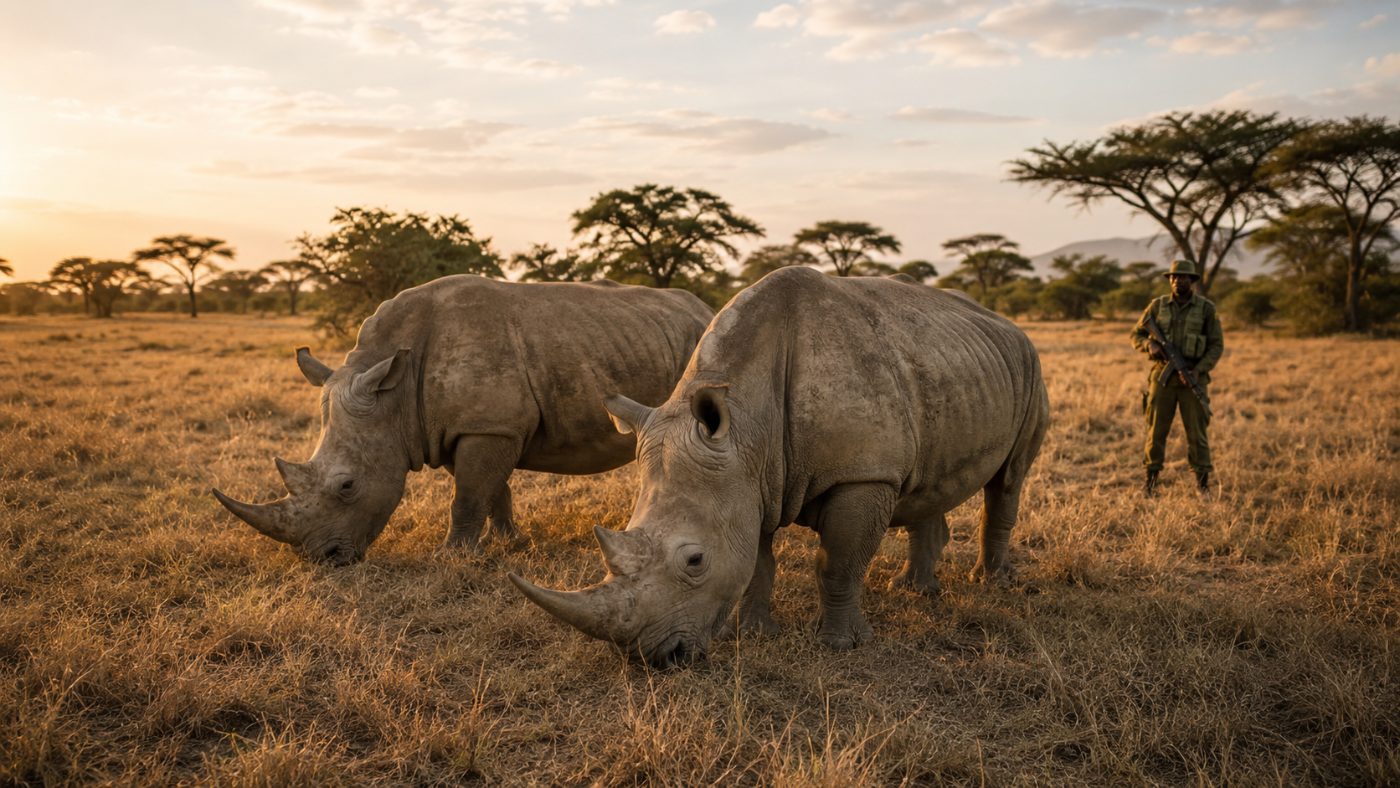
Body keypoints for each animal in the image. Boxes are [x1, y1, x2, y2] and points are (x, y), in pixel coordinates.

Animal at [212, 274, 712, 565]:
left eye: (347, 486)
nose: (325, 559)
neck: (392, 392)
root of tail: (704, 307)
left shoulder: (486, 425)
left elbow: (468, 496)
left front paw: (450, 558)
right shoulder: (460, 427)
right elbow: (491, 491)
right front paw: (511, 544)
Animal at [511, 267, 1049, 666]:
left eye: (695, 561)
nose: (656, 659)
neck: (747, 426)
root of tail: (1004, 321)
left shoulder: (862, 474)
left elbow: (838, 561)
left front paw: (841, 645)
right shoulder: (752, 479)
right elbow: (757, 560)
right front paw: (754, 634)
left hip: (1030, 365)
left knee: (1008, 480)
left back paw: (991, 583)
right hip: (950, 366)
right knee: (928, 481)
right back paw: (917, 590)